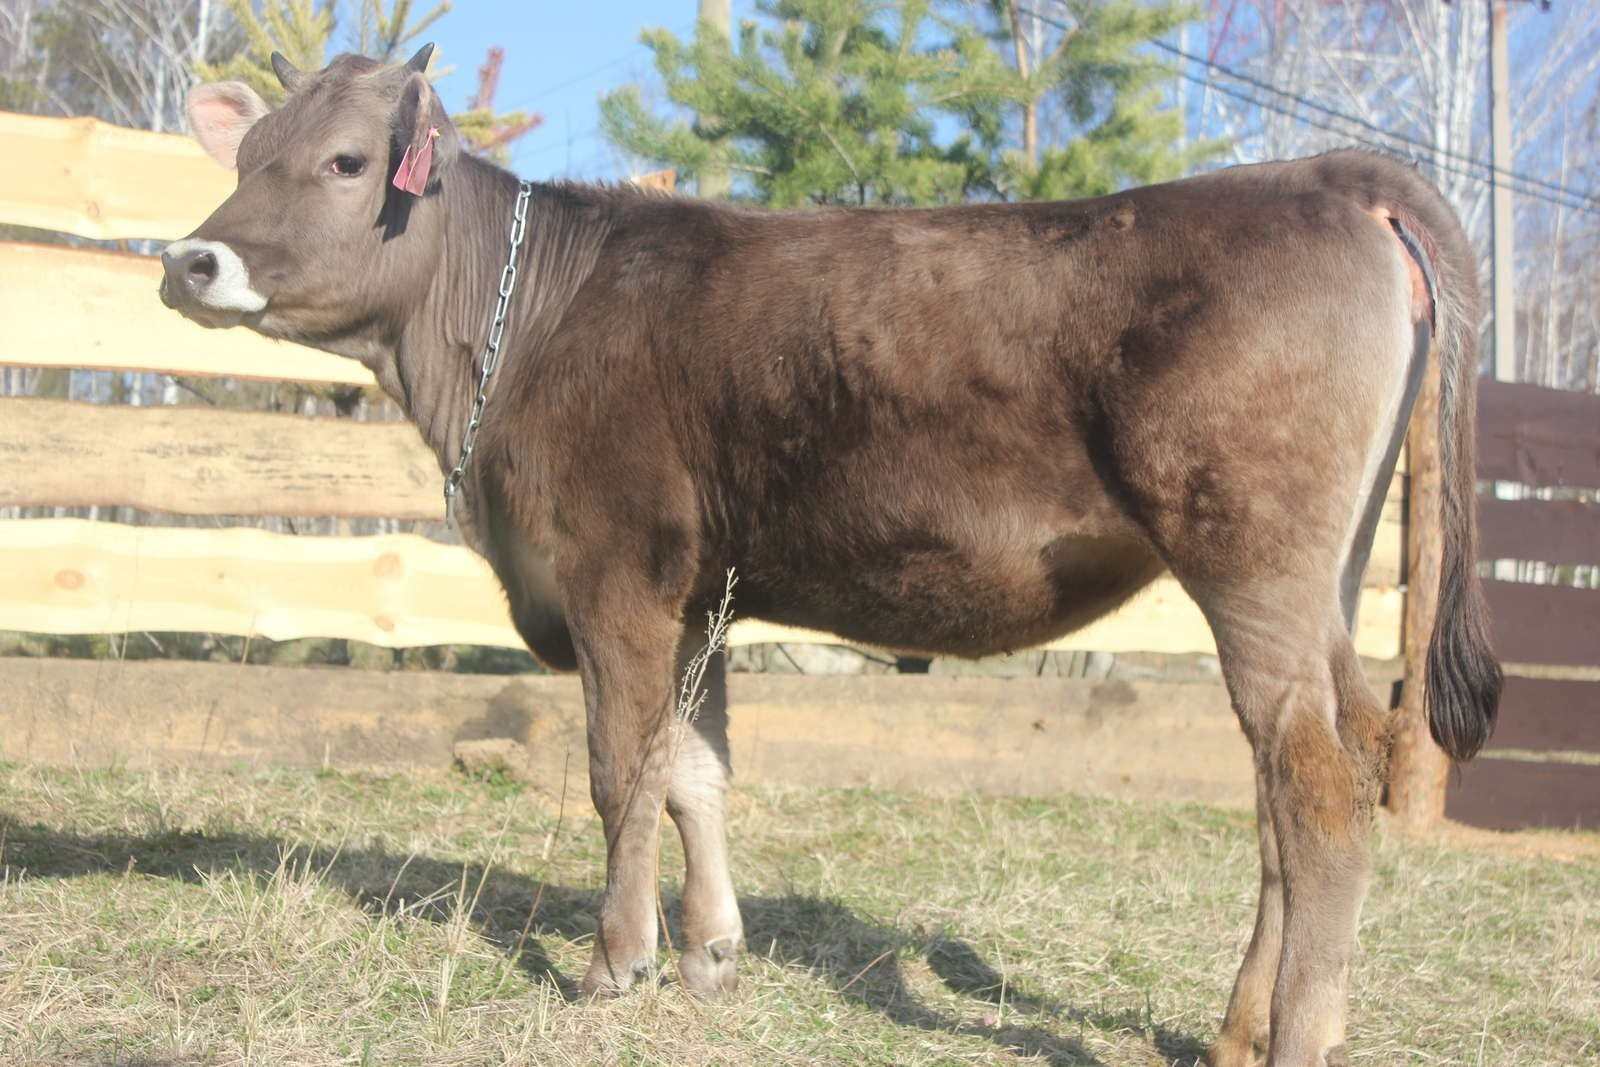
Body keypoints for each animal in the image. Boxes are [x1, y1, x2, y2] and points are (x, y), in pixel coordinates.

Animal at [162, 47, 1497, 1067]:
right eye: (243, 155)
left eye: (344, 160)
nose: (188, 260)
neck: (520, 328)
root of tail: (1318, 173)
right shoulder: (701, 596)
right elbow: (695, 772)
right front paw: (709, 951)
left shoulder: (614, 573)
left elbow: (619, 771)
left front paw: (615, 961)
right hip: (1321, 578)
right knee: (1303, 772)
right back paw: (1233, 1029)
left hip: (1252, 556)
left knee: (1316, 786)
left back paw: (1300, 1037)